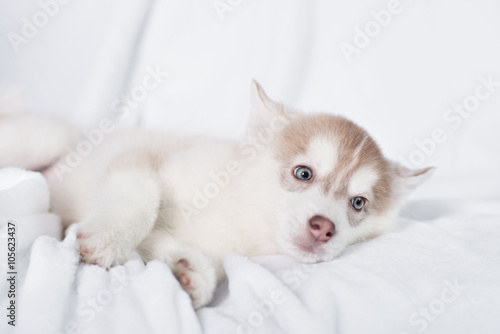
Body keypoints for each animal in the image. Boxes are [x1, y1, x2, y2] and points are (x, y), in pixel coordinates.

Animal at [0, 81, 432, 308]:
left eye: (358, 203)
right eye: (303, 173)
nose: (324, 227)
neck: (241, 217)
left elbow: (169, 249)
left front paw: (189, 274)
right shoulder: (137, 159)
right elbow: (143, 196)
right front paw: (108, 238)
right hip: (44, 141)